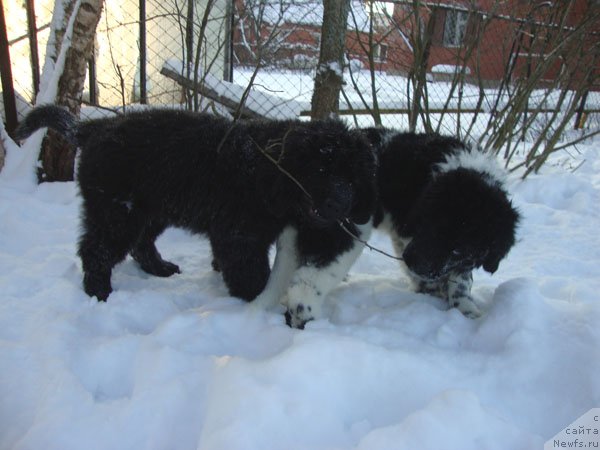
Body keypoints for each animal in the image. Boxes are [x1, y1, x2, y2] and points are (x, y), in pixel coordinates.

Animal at [16, 105, 376, 302]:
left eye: (353, 177)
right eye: (321, 170)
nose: (341, 205)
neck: (267, 171)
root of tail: (95, 127)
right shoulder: (240, 235)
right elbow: (249, 271)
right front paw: (256, 297)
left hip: (150, 209)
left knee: (140, 244)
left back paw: (159, 268)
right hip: (117, 210)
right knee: (97, 249)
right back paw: (99, 291)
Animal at [262, 129, 520, 326]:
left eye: (459, 248)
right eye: (430, 226)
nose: (411, 261)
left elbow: (461, 278)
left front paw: (465, 308)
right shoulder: (409, 231)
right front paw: (433, 293)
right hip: (345, 232)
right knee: (306, 285)